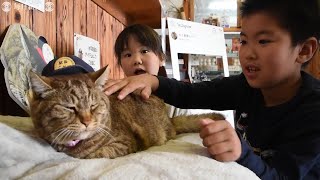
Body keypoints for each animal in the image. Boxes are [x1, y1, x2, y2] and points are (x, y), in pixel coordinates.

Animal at [27, 66, 225, 159]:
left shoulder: (125, 142)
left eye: (93, 106)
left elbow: (98, 154)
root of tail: (170, 120)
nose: (87, 121)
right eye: (70, 107)